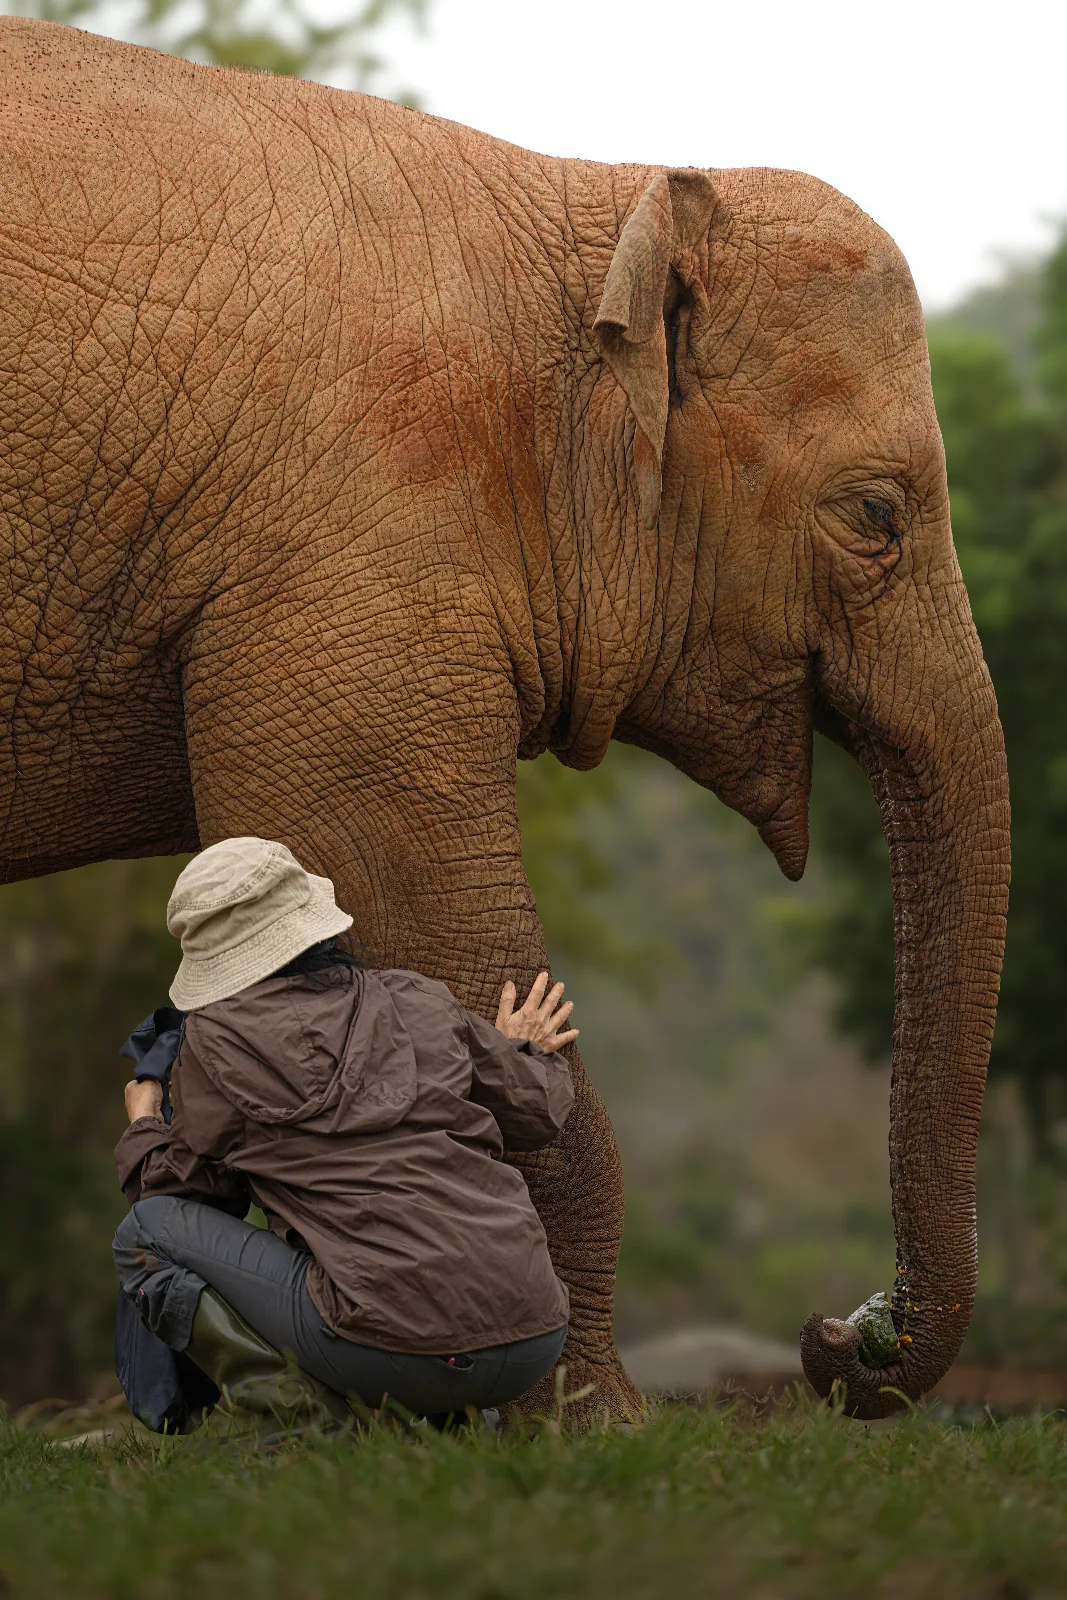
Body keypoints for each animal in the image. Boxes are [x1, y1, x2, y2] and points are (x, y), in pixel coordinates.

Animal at [0, 17, 1009, 1422]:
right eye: (874, 516)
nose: (833, 1336)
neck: (593, 197)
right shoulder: (352, 545)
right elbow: (379, 876)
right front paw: (587, 1422)